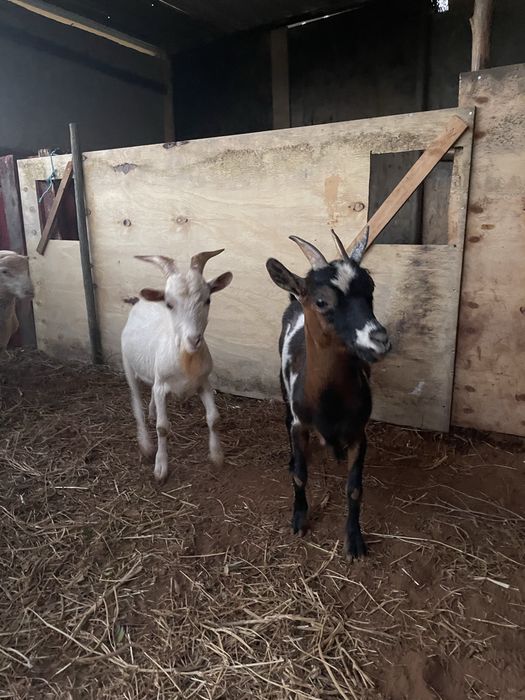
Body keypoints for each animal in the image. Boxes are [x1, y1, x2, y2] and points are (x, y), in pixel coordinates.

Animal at [121, 250, 232, 484]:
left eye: (208, 299)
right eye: (170, 304)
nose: (194, 339)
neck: (184, 357)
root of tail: (141, 301)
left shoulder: (203, 383)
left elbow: (214, 419)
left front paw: (216, 456)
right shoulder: (162, 386)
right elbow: (163, 428)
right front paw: (160, 467)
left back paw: (152, 412)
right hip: (127, 364)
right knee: (136, 402)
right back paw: (145, 445)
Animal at [265, 229, 391, 559]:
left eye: (370, 290)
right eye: (322, 301)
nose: (380, 340)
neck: (328, 403)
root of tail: (294, 296)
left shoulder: (359, 433)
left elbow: (355, 488)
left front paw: (355, 541)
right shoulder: (300, 424)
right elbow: (300, 474)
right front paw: (299, 520)